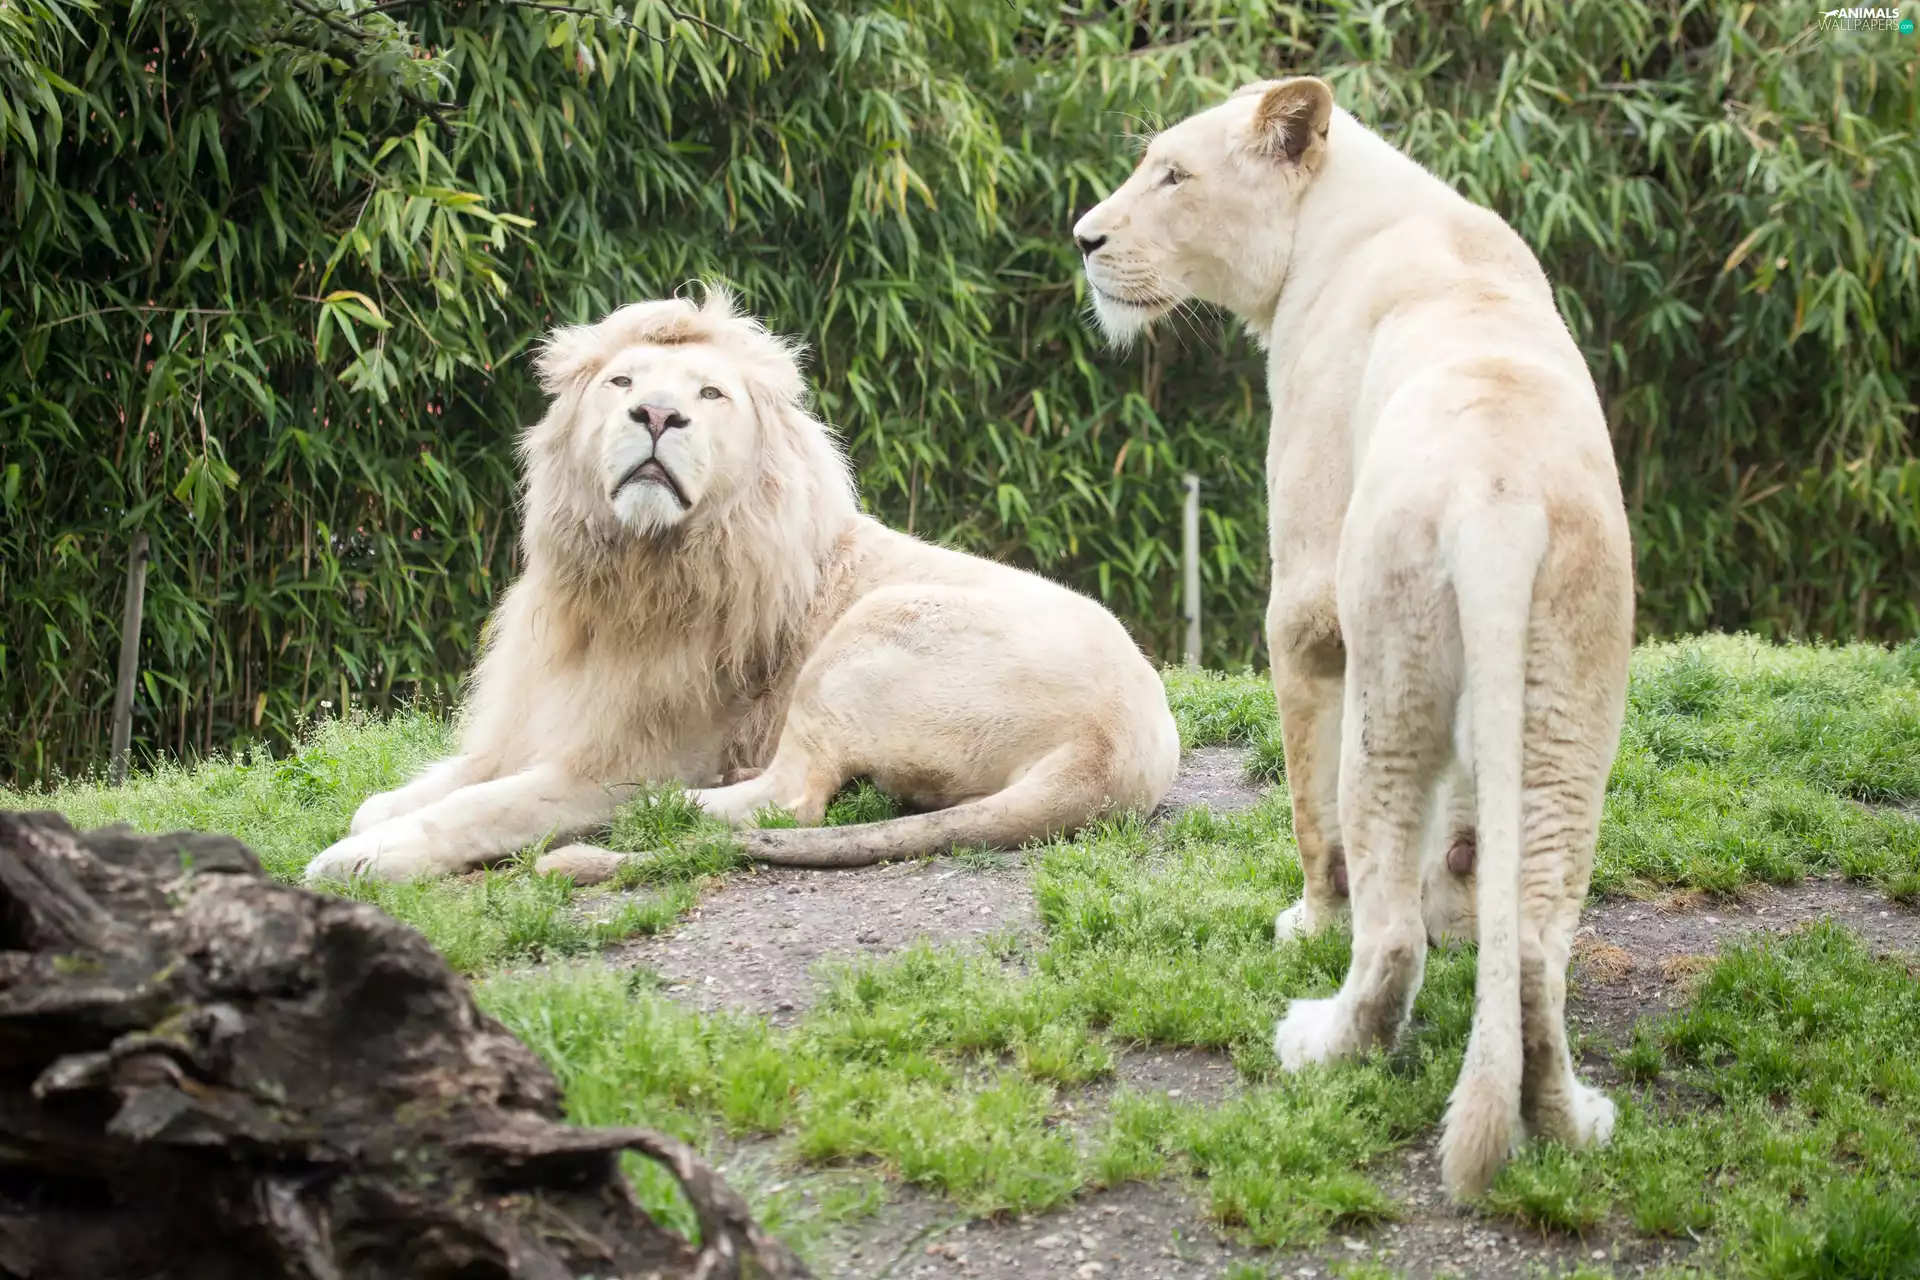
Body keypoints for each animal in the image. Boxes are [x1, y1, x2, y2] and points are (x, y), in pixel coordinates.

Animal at [302, 289, 1180, 888]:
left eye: (709, 394)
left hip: (871, 629)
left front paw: (363, 856)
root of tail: (1114, 752)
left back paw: (659, 811)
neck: (627, 572)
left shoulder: (615, 758)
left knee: (787, 801)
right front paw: (378, 816)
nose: (657, 415)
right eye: (621, 382)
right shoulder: (533, 723)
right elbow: (424, 786)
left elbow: (478, 806)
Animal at [1071, 77, 1634, 1199]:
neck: (1343, 215)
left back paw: (1322, 1040)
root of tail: (1499, 495)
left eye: (1173, 175)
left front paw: (1306, 924)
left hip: (1393, 667)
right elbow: (1467, 838)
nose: (1084, 238)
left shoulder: (1304, 597)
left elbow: (1306, 810)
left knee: (1386, 929)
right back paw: (1569, 1119)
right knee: (1536, 949)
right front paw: (1461, 895)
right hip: (1569, 707)